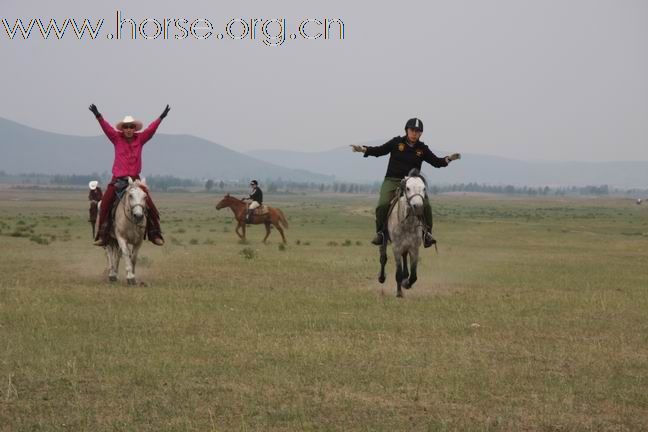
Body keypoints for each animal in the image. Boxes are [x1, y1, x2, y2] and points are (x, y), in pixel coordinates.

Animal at [378, 168, 428, 296]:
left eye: (423, 188)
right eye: (408, 188)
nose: (418, 207)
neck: (407, 223)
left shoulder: (414, 248)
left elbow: (414, 275)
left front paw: (406, 283)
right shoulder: (396, 247)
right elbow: (398, 273)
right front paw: (399, 293)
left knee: (404, 256)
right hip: (384, 240)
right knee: (383, 257)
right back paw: (381, 277)